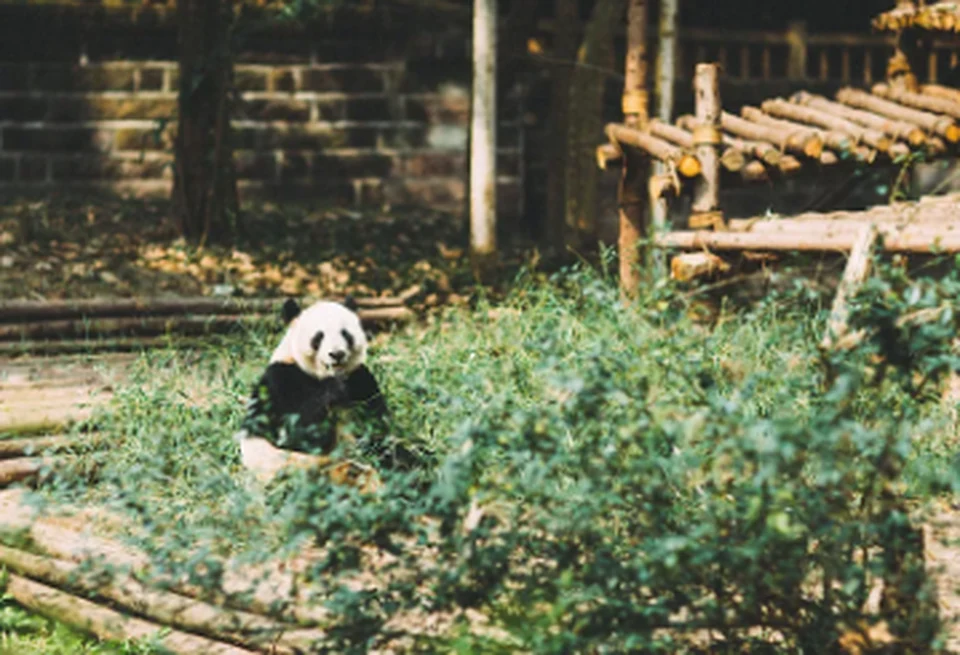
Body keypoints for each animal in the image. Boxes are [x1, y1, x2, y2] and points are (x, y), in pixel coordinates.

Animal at [235, 296, 414, 484]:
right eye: (319, 336)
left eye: (345, 334)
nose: (336, 354)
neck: (322, 375)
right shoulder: (281, 379)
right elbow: (298, 435)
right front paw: (333, 390)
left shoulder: (360, 378)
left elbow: (377, 426)